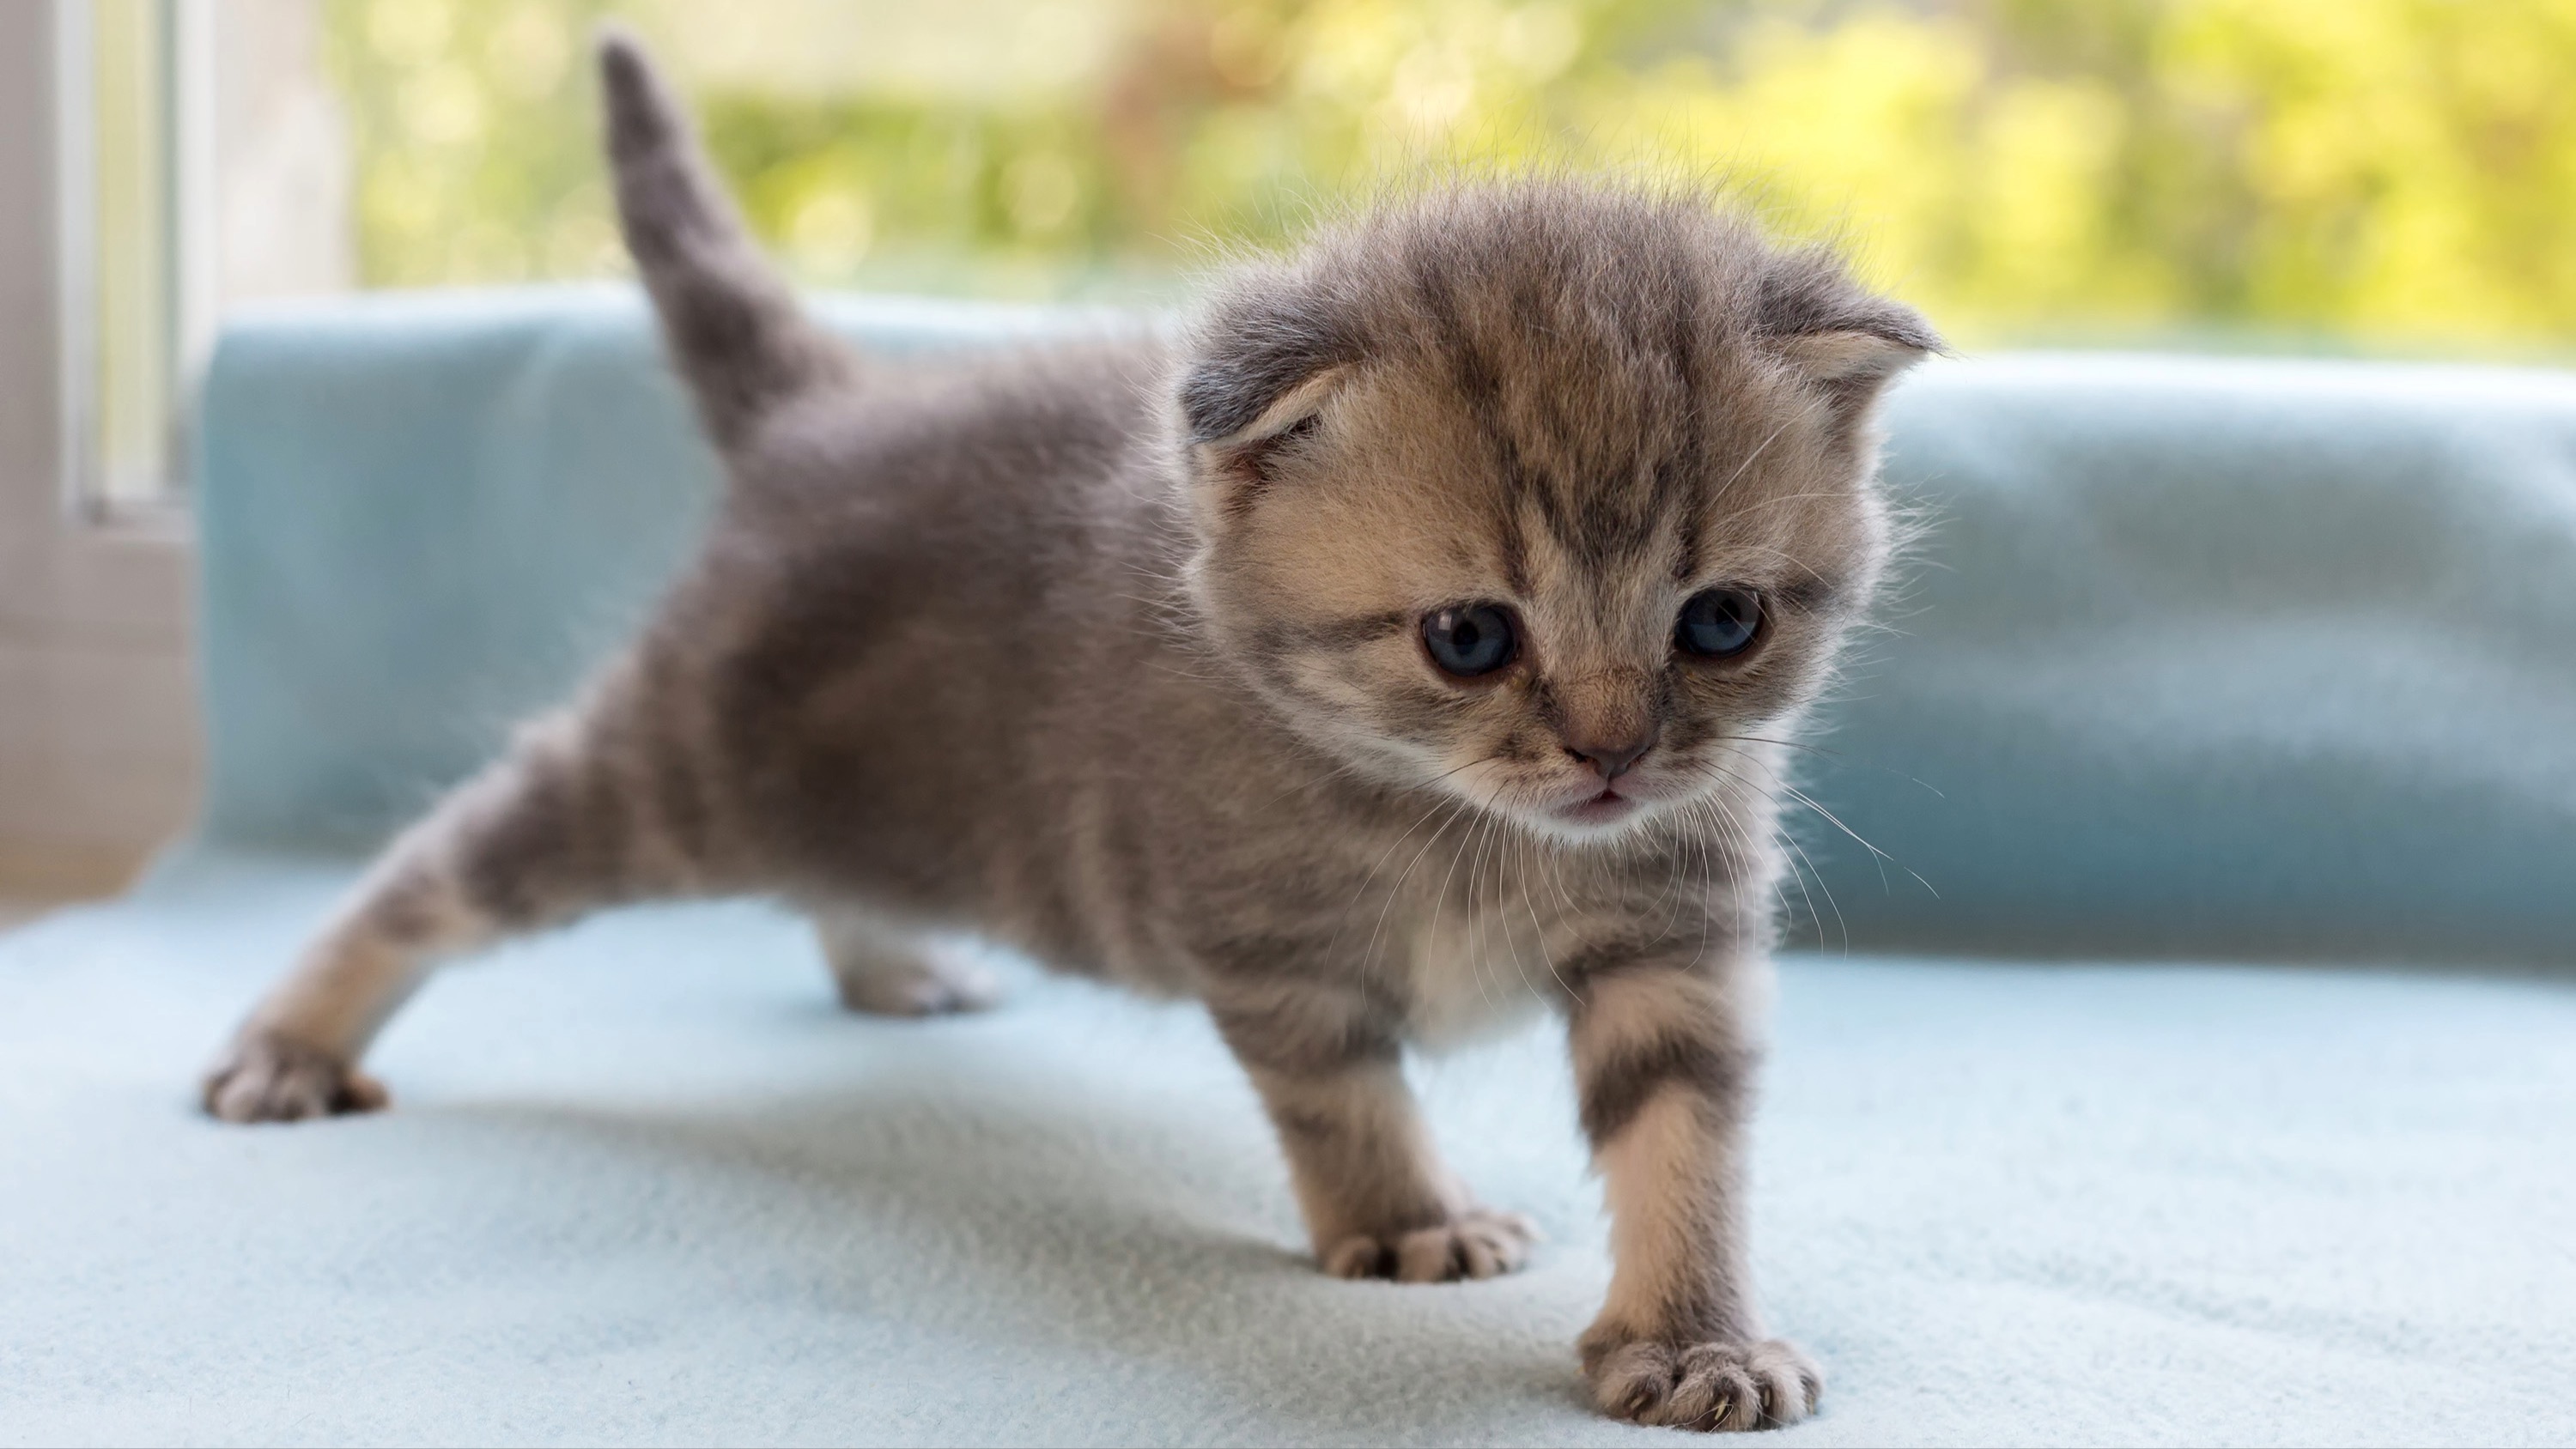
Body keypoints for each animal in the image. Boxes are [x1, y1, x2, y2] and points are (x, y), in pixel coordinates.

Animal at [201, 33, 1937, 1441]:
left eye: (1720, 623)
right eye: (1469, 638)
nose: (1613, 755)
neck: (1459, 823)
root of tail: (825, 416)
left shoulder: (1674, 941)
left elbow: (1685, 1141)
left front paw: (1694, 1338)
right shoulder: (1270, 955)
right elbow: (1348, 1101)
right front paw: (1408, 1223)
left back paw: (894, 965)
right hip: (672, 769)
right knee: (438, 867)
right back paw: (292, 1041)